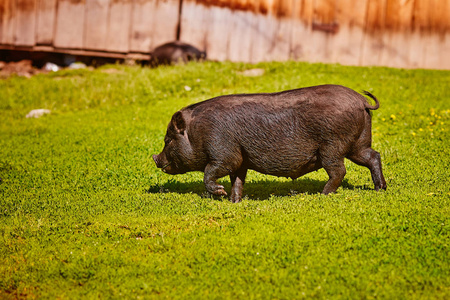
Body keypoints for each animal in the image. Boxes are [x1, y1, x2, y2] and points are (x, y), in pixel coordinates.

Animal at [154, 83, 386, 203]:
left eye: (168, 139)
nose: (155, 159)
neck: (197, 132)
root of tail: (362, 101)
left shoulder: (225, 154)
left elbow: (209, 173)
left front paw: (220, 193)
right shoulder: (241, 161)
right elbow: (237, 181)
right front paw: (234, 202)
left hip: (332, 146)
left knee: (339, 171)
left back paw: (323, 194)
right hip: (357, 143)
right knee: (373, 156)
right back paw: (380, 188)